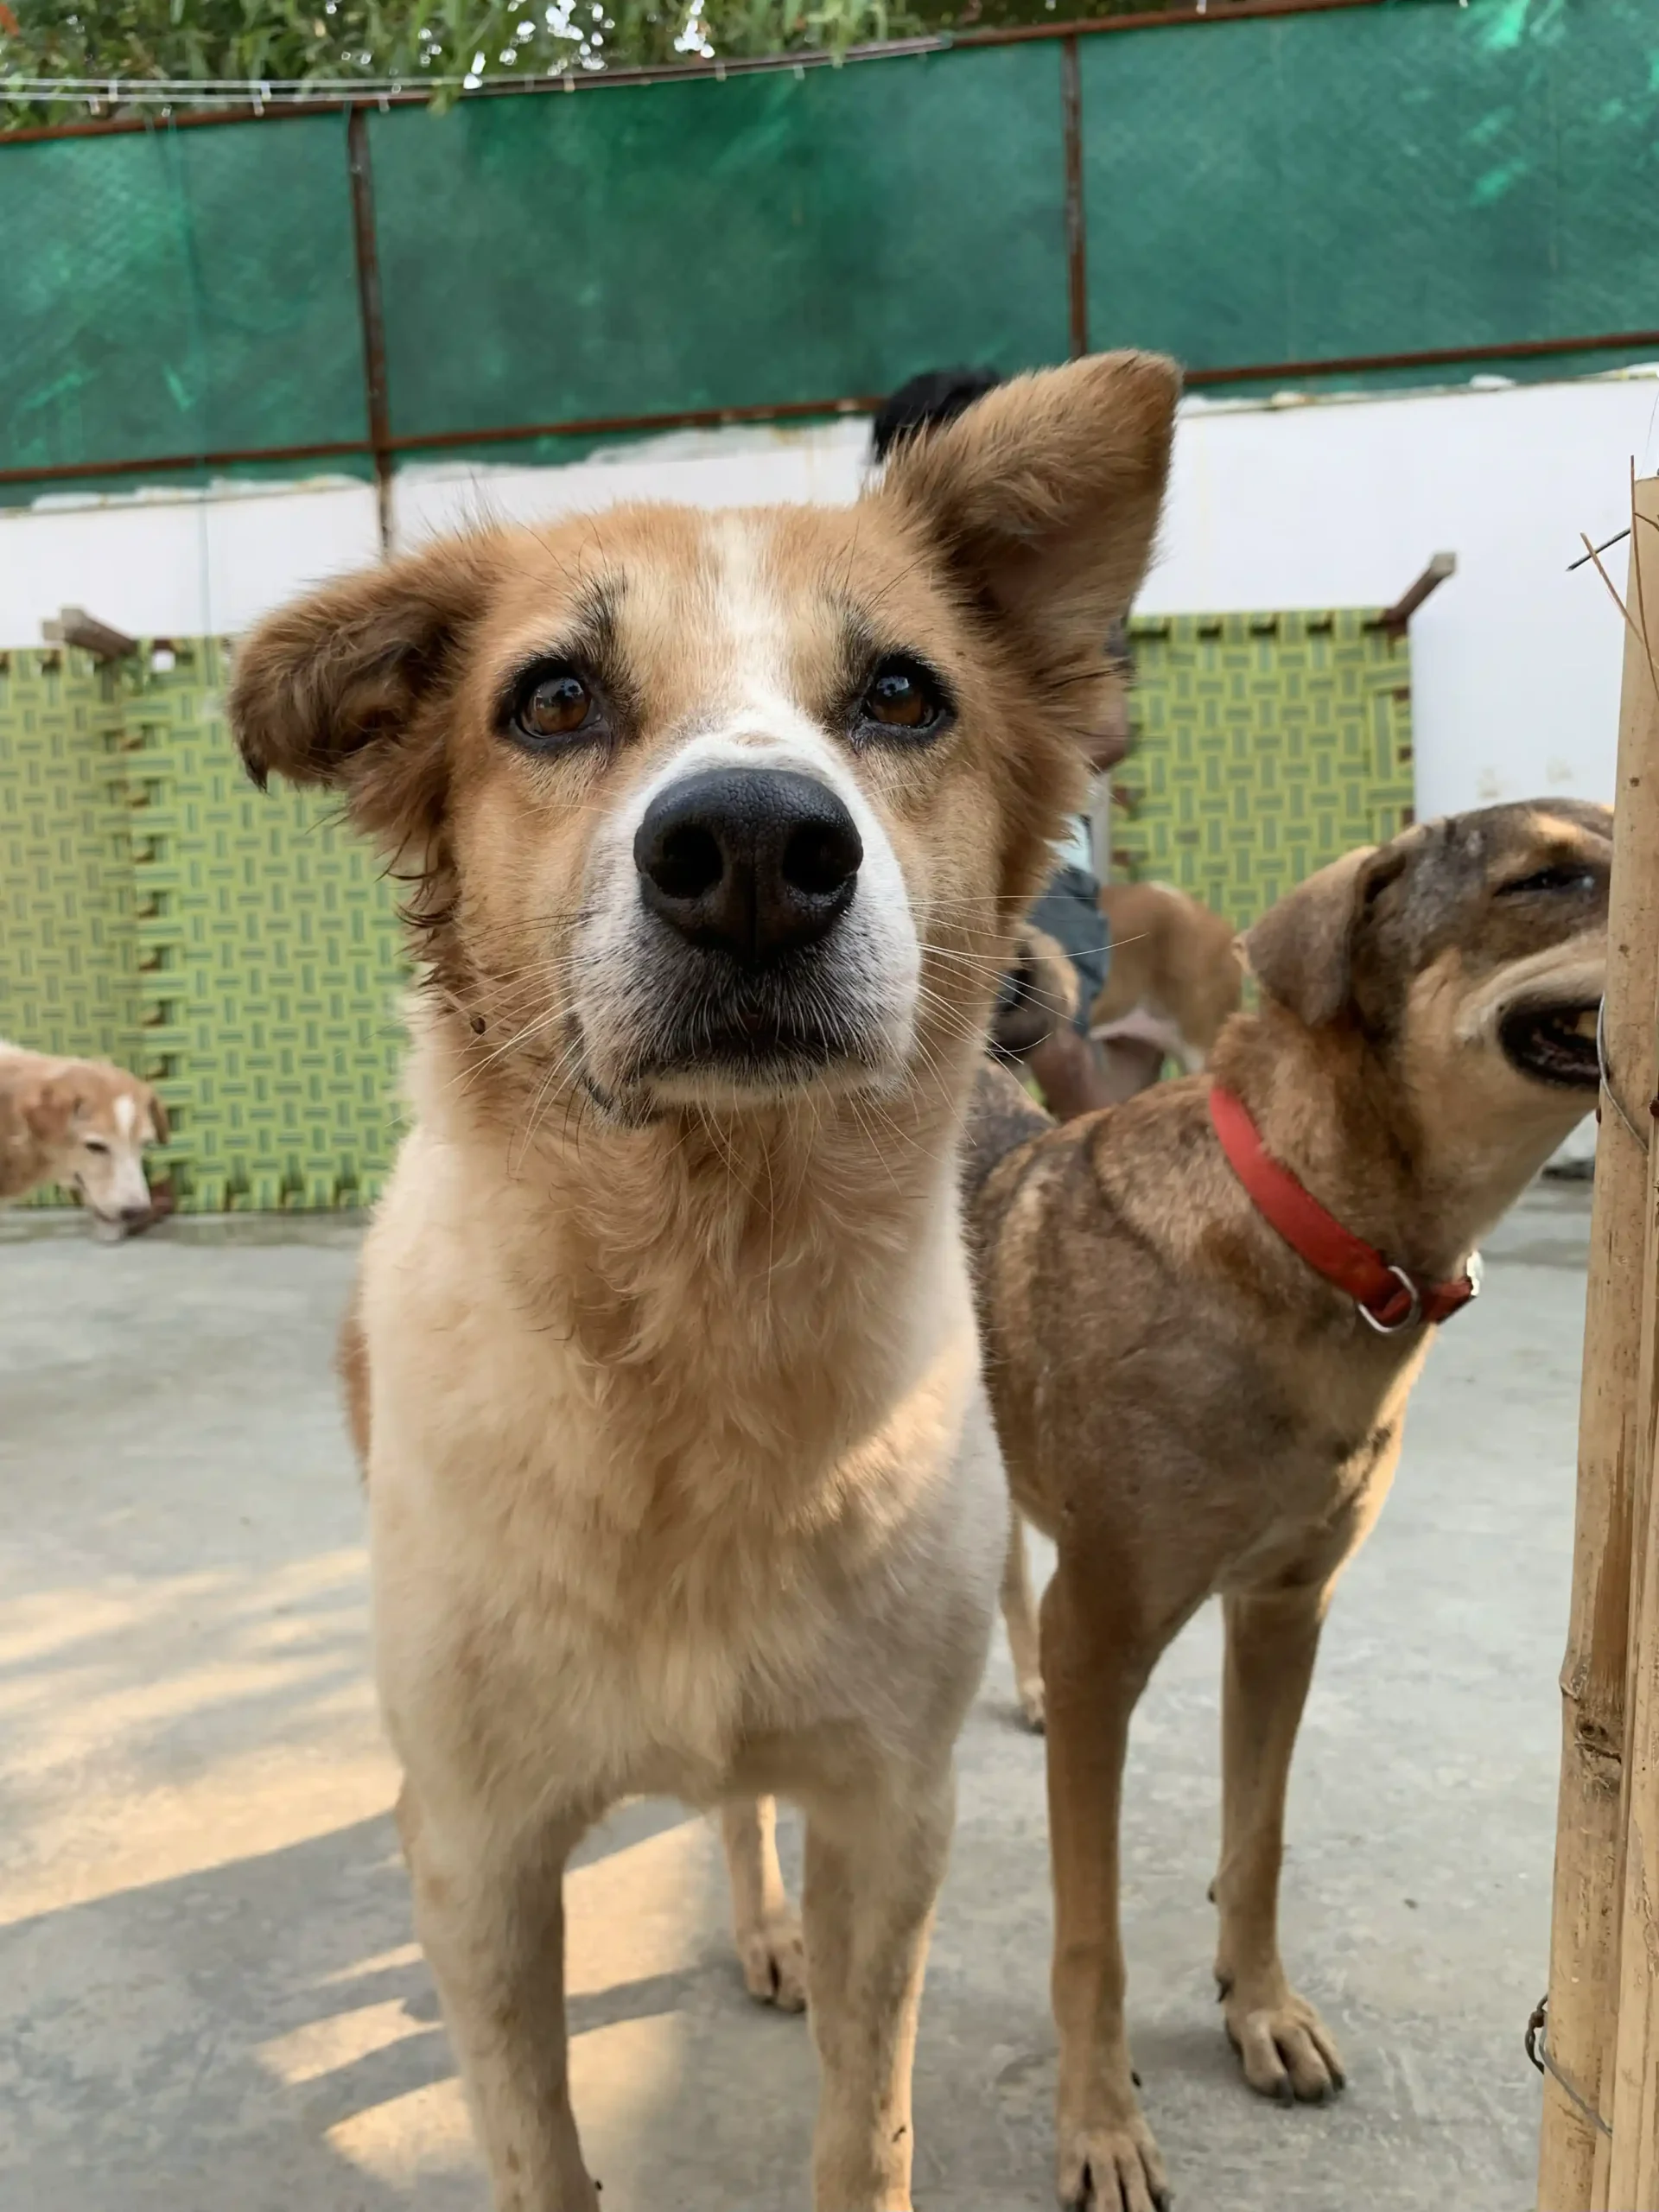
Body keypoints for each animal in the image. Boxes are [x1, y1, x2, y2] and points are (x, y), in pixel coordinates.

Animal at [228, 350, 1179, 2212]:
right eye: (551, 700)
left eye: (901, 693)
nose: (749, 845)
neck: (702, 1320)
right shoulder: (479, 1853)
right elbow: (539, 2148)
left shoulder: (890, 1811)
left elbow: (863, 2132)